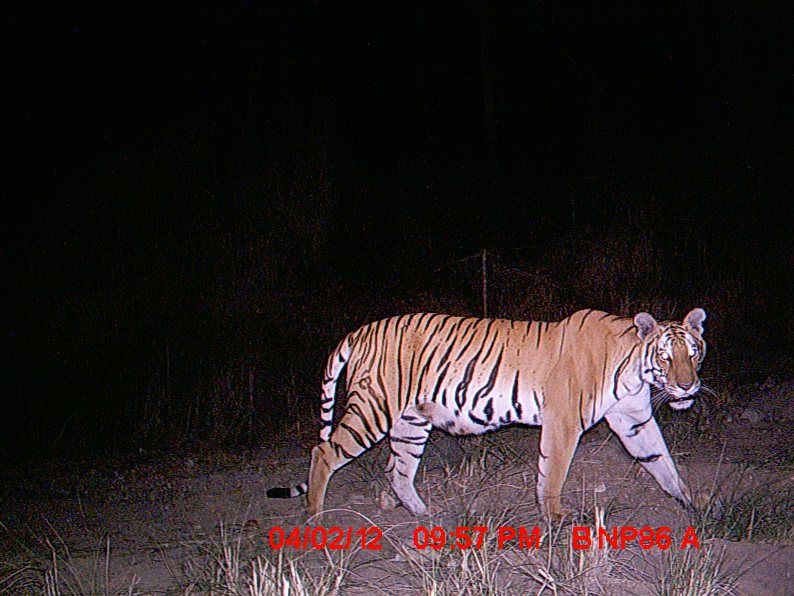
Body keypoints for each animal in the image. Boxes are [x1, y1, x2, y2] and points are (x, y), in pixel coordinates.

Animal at [268, 310, 704, 520]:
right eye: (666, 357)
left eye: (694, 353)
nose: (687, 387)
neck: (633, 369)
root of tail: (360, 330)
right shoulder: (563, 423)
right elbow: (553, 473)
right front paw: (556, 517)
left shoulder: (634, 421)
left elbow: (662, 461)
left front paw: (691, 504)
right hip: (373, 408)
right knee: (323, 452)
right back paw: (315, 518)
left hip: (410, 422)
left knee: (398, 470)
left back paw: (424, 515)